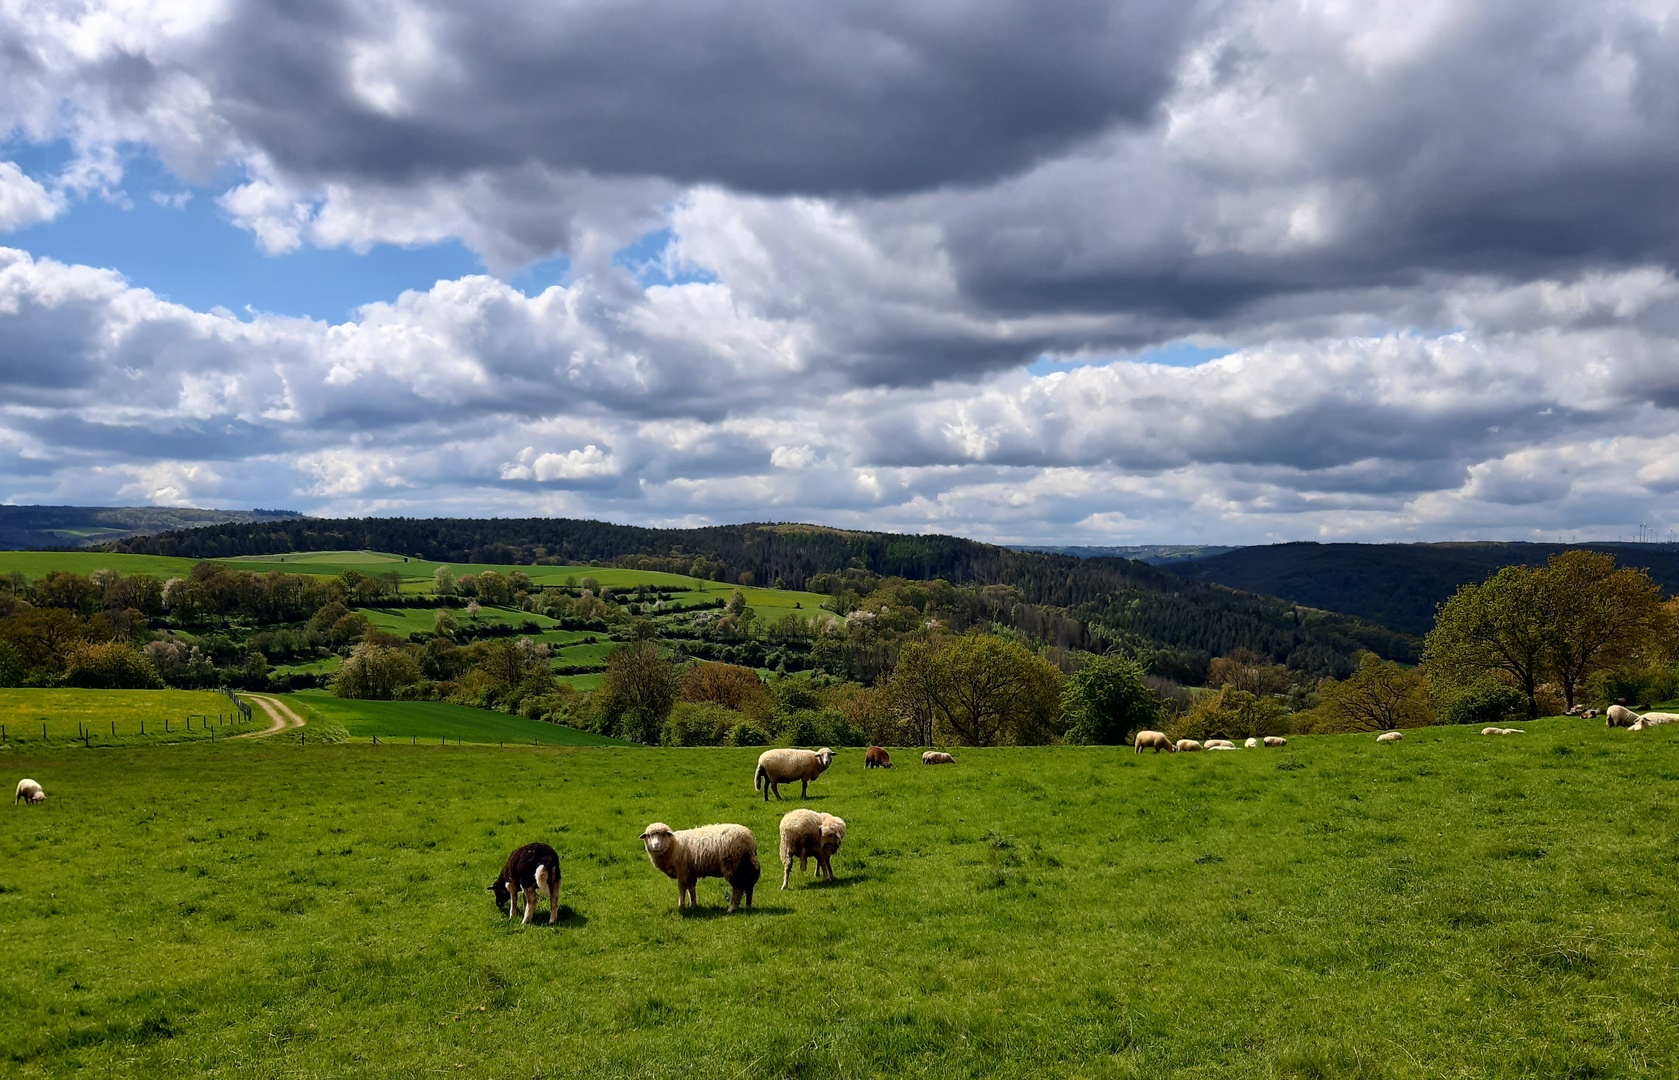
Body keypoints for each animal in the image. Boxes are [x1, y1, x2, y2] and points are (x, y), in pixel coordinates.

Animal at [634, 829, 762, 913]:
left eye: (663, 834)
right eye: (649, 835)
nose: (655, 845)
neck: (673, 845)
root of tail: (750, 840)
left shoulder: (682, 871)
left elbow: (682, 889)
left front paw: (681, 906)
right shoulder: (691, 872)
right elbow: (692, 889)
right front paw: (694, 905)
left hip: (732, 866)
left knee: (738, 889)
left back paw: (731, 908)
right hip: (746, 867)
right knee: (749, 887)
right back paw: (748, 907)